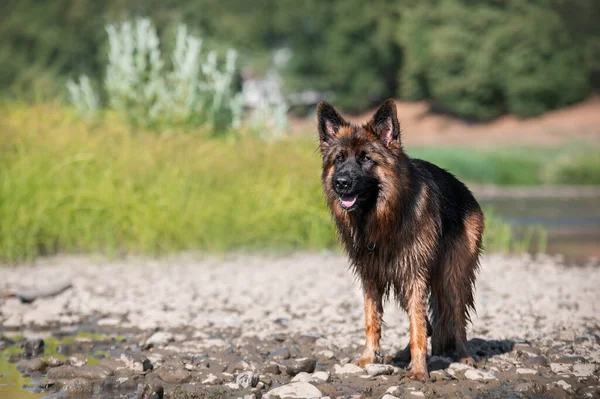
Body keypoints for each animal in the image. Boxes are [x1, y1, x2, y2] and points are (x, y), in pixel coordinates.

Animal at [318, 100, 482, 382]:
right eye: (339, 159)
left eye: (365, 158)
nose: (341, 183)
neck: (382, 220)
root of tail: (465, 190)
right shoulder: (371, 276)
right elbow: (373, 320)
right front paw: (367, 359)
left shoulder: (414, 274)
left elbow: (417, 324)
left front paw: (418, 370)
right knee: (430, 323)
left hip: (450, 277)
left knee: (456, 318)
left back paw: (464, 356)